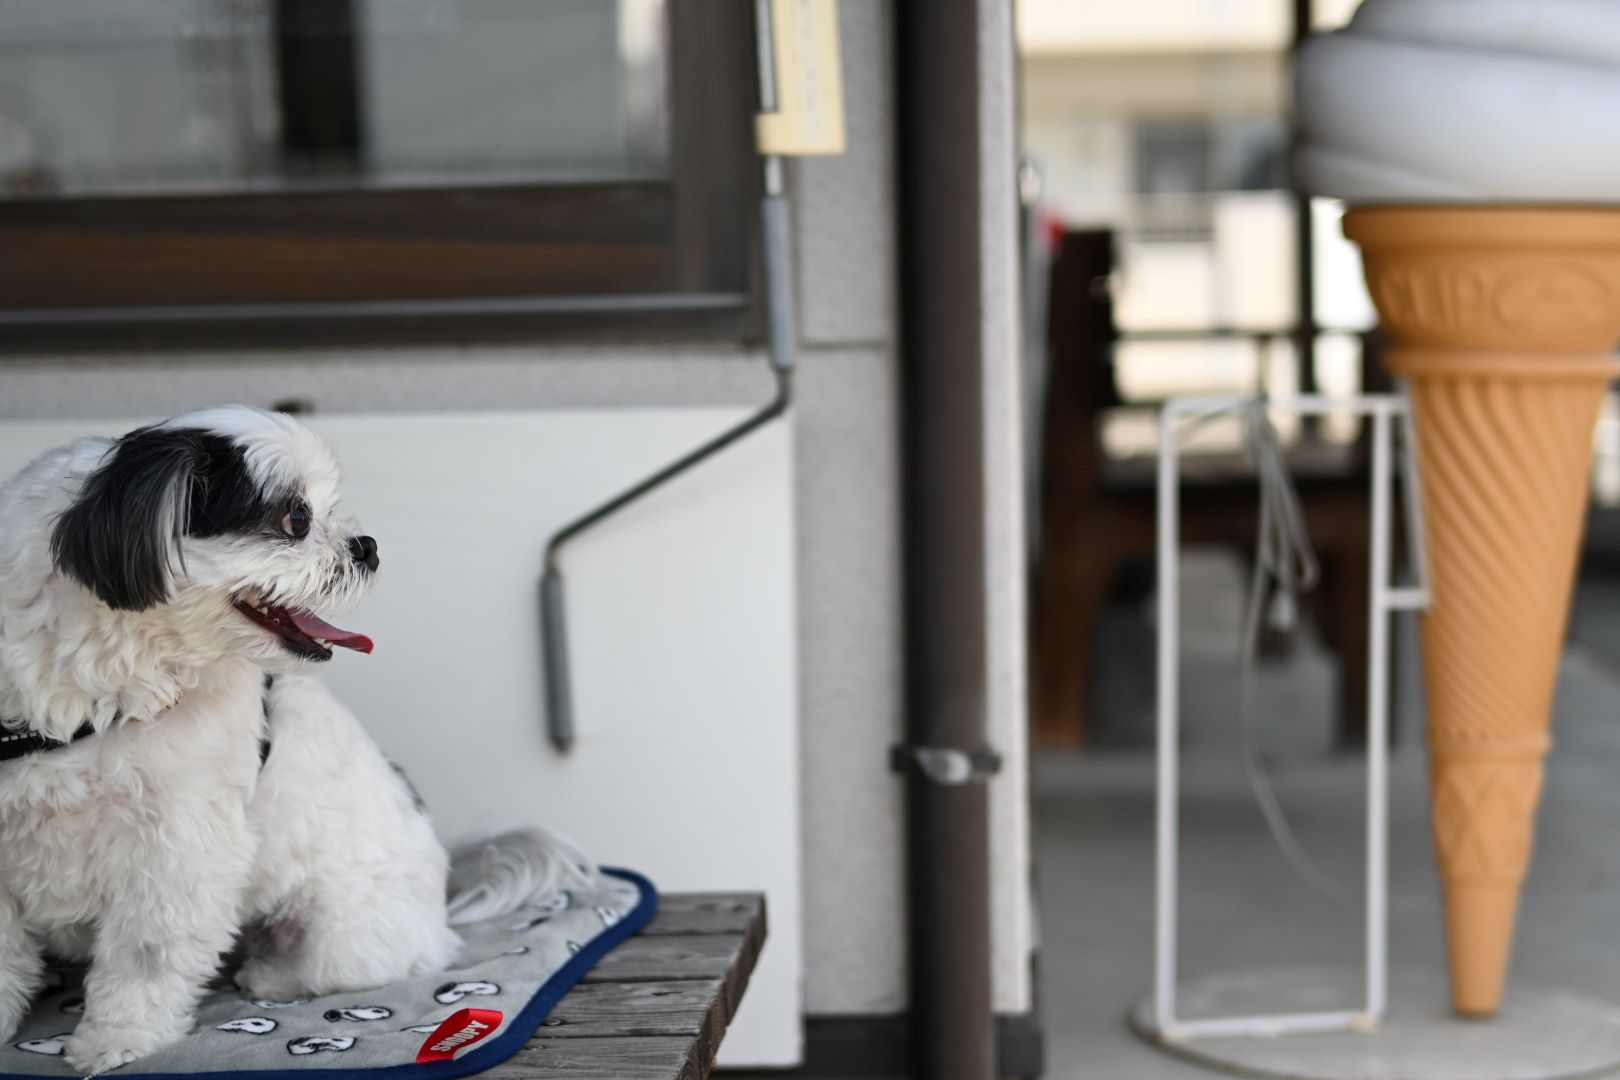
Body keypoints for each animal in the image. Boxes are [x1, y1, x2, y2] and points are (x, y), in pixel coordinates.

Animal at [0, 404, 583, 1075]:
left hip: (336, 935)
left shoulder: (177, 852)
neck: (94, 704)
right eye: (296, 519)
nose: (368, 546)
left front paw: (117, 1038)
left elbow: (146, 959)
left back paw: (269, 977)